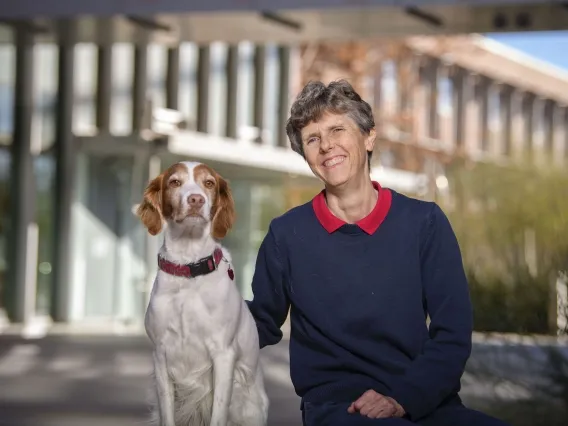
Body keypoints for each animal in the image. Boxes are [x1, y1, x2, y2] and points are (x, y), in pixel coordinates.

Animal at [137, 161, 270, 426]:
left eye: (208, 183)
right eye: (174, 182)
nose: (196, 199)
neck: (189, 268)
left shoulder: (223, 355)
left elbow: (218, 415)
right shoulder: (161, 355)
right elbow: (167, 414)